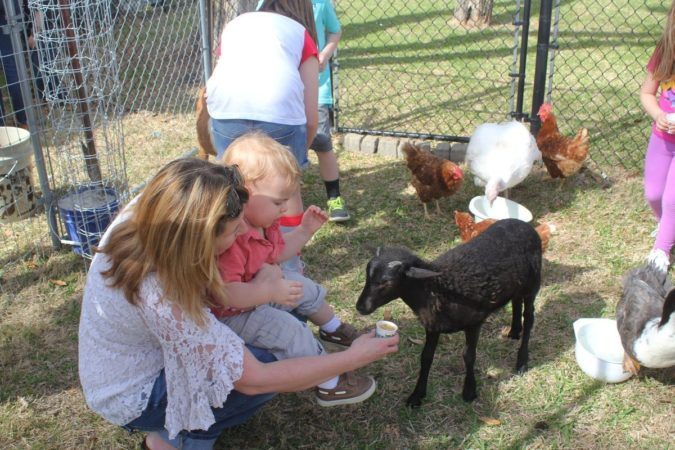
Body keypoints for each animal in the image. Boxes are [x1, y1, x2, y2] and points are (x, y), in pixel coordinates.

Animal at [356, 218, 540, 408]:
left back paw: (522, 361)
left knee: (529, 318)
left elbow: (469, 356)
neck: (436, 288)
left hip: (533, 284)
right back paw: (514, 332)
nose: (360, 307)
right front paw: (417, 395)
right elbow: (426, 357)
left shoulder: (474, 323)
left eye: (387, 282)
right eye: (367, 275)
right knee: (516, 301)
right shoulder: (432, 325)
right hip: (517, 285)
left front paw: (469, 391)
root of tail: (522, 224)